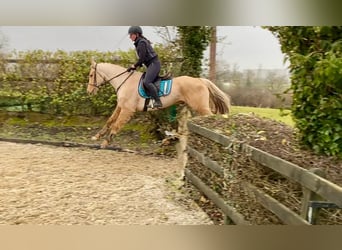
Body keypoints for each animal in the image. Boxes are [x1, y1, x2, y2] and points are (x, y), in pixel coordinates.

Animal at [86, 59, 230, 147]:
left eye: (91, 75)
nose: (89, 91)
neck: (124, 81)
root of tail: (200, 80)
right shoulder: (121, 106)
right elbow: (110, 120)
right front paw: (97, 136)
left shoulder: (127, 110)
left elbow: (116, 125)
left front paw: (106, 142)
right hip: (187, 107)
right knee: (184, 127)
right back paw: (169, 139)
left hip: (201, 107)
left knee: (208, 117)